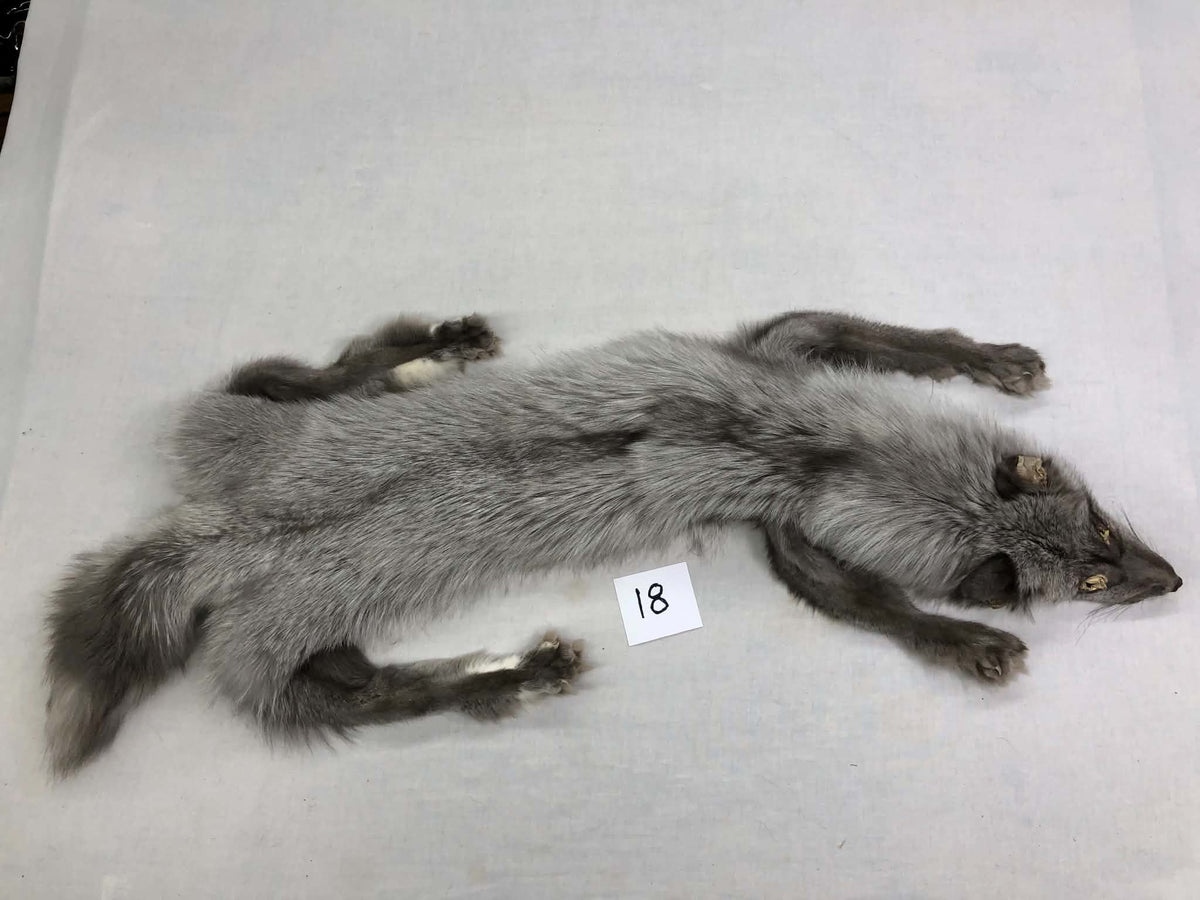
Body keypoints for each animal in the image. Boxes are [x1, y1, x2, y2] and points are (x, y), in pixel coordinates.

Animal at [44, 311, 1181, 775]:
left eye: (1103, 526)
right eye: (1091, 577)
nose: (1171, 579)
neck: (806, 448)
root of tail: (212, 540)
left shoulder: (781, 359)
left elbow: (881, 336)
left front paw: (991, 360)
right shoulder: (788, 517)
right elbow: (870, 604)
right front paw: (966, 643)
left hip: (241, 422)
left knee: (284, 375)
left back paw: (426, 355)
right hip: (283, 657)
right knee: (372, 697)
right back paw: (519, 671)